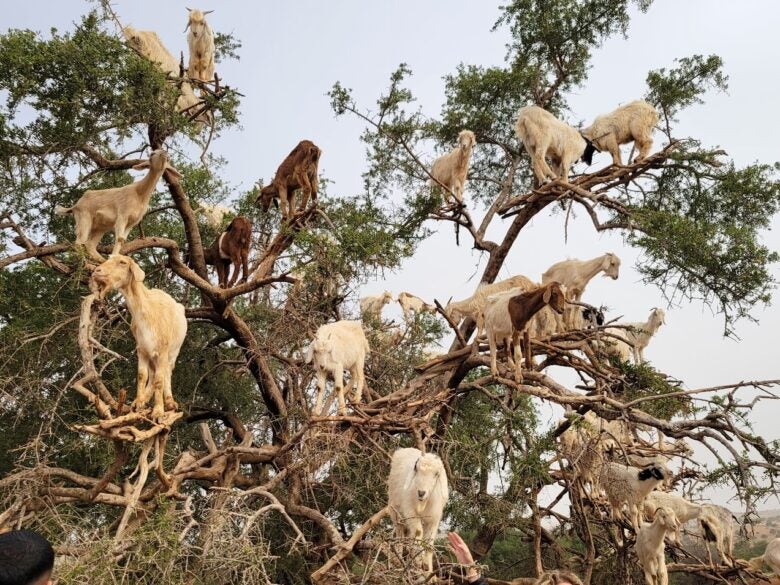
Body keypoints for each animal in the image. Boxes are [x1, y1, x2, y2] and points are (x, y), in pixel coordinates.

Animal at [89, 256, 187, 420]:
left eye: (123, 262)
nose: (97, 271)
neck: (148, 312)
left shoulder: (162, 350)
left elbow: (159, 379)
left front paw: (158, 412)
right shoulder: (142, 349)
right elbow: (142, 375)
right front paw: (138, 403)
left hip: (174, 351)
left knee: (167, 371)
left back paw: (170, 402)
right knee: (153, 373)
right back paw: (144, 399)